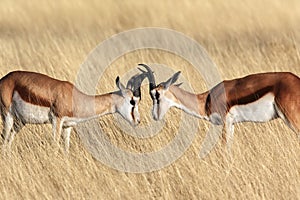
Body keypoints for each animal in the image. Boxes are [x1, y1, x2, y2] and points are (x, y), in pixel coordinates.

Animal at [0, 70, 145, 152]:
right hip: (7, 117)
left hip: (20, 122)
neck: (75, 98)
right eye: (132, 101)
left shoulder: (67, 126)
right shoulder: (56, 120)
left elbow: (66, 149)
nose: (138, 121)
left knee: (8, 141)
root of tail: (3, 79)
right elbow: (55, 146)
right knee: (4, 138)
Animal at [139, 64, 300, 148]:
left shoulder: (225, 122)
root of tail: (296, 81)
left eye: (156, 94)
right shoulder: (232, 124)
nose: (154, 116)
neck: (206, 100)